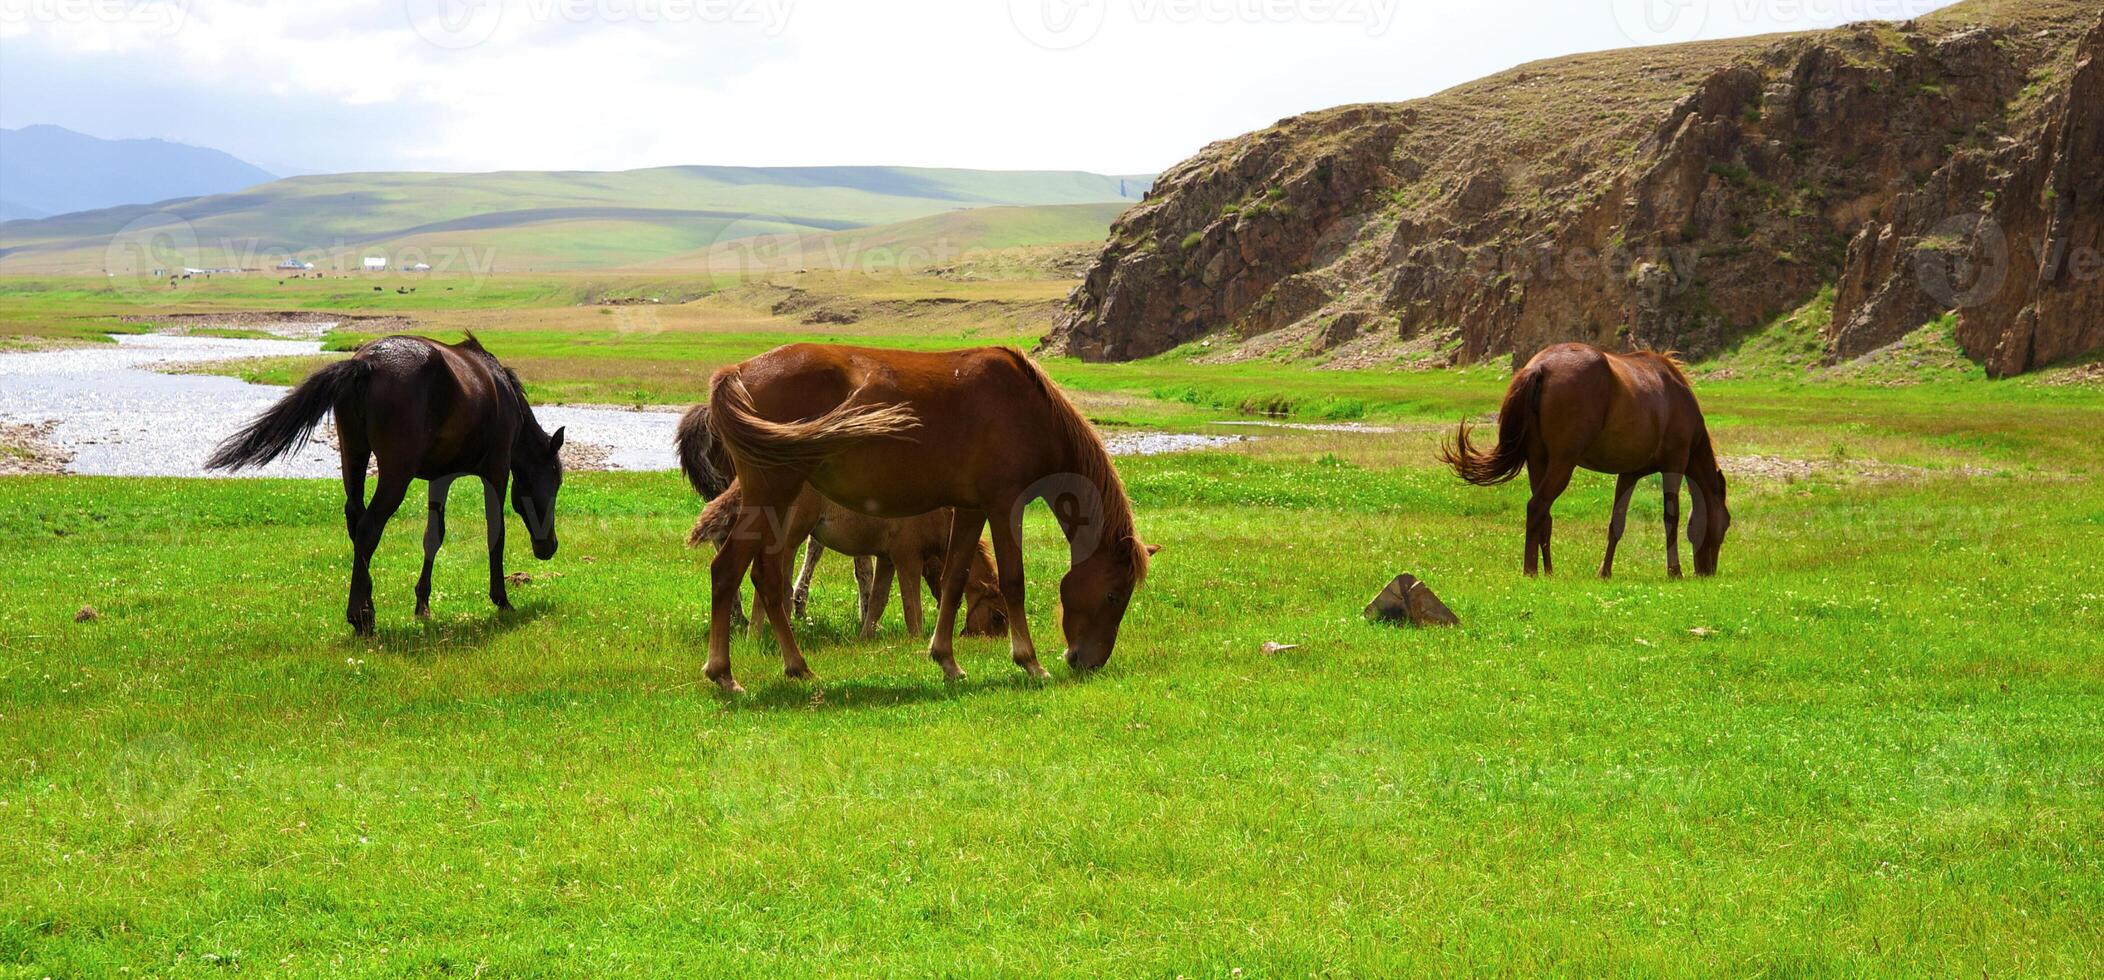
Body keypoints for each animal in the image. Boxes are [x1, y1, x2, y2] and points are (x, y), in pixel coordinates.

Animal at [204, 332, 563, 630]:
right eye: (556, 483)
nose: (549, 547)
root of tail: (366, 363)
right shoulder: (497, 471)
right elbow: (495, 532)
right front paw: (501, 599)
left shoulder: (440, 477)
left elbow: (433, 535)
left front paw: (422, 604)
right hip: (395, 472)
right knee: (369, 526)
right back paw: (361, 616)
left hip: (354, 453)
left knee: (355, 519)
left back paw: (366, 604)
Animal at [681, 340, 1161, 693]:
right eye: (1114, 594)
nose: (1089, 662)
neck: (1028, 409)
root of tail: (738, 373)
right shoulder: (1005, 505)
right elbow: (1014, 581)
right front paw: (1029, 662)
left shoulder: (970, 508)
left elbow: (953, 579)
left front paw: (946, 661)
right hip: (772, 492)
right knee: (729, 571)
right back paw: (724, 674)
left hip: (776, 502)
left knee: (764, 578)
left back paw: (796, 666)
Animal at [1439, 342, 1733, 576]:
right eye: (1726, 523)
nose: (1708, 572)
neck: (1675, 396)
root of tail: (1541, 368)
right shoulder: (1674, 464)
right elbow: (1670, 517)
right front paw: (1675, 571)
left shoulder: (1629, 473)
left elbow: (1617, 523)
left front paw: (1605, 572)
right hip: (1562, 463)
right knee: (1536, 507)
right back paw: (1530, 570)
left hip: (1538, 461)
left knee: (1544, 515)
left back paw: (1548, 570)